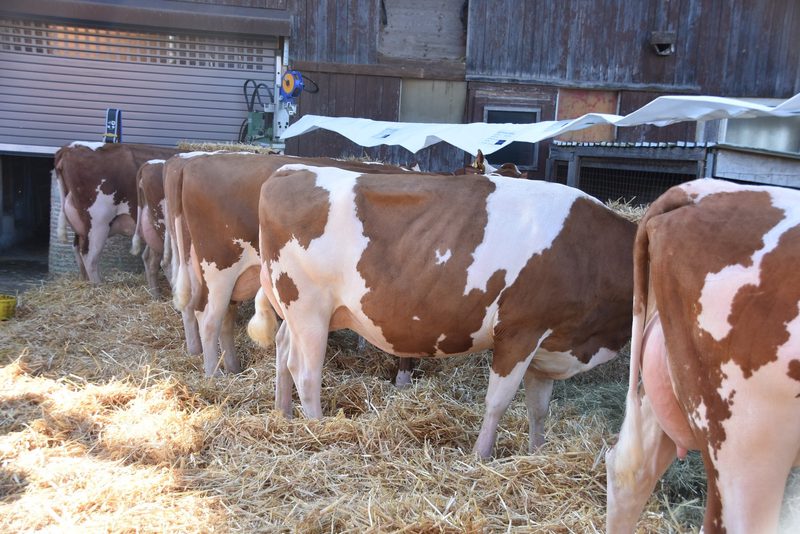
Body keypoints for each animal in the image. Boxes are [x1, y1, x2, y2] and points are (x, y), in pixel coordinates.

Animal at [54, 142, 182, 283]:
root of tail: (71, 147)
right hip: (98, 223)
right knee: (89, 257)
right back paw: (98, 285)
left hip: (82, 225)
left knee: (77, 249)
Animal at [249, 164, 636, 458]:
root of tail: (290, 170)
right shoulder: (520, 332)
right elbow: (498, 401)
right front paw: (481, 456)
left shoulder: (548, 345)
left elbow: (539, 408)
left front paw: (537, 453)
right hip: (308, 306)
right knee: (305, 371)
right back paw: (318, 428)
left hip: (300, 310)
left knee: (283, 348)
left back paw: (284, 415)